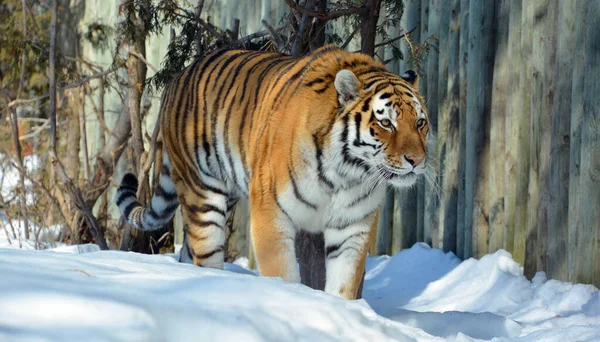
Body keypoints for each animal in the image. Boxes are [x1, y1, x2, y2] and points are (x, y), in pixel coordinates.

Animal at [115, 45, 428, 300]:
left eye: (420, 122)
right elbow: (282, 273)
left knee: (187, 251)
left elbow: (344, 283)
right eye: (386, 123)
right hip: (202, 194)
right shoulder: (271, 212)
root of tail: (177, 77)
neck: (346, 172)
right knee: (206, 252)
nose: (417, 160)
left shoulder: (353, 225)